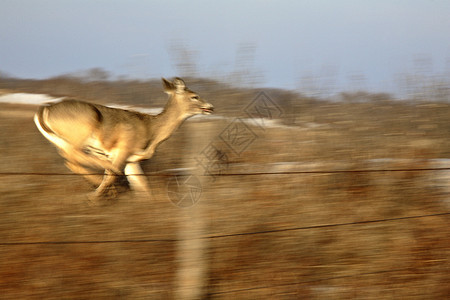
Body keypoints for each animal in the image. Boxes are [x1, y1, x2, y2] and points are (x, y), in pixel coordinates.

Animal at [34, 78, 214, 202]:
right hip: (80, 131)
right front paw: (93, 198)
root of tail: (44, 110)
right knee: (77, 158)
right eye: (195, 96)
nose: (211, 107)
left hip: (61, 141)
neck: (152, 131)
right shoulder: (124, 147)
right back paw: (99, 181)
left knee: (71, 160)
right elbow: (114, 175)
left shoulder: (132, 159)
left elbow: (142, 185)